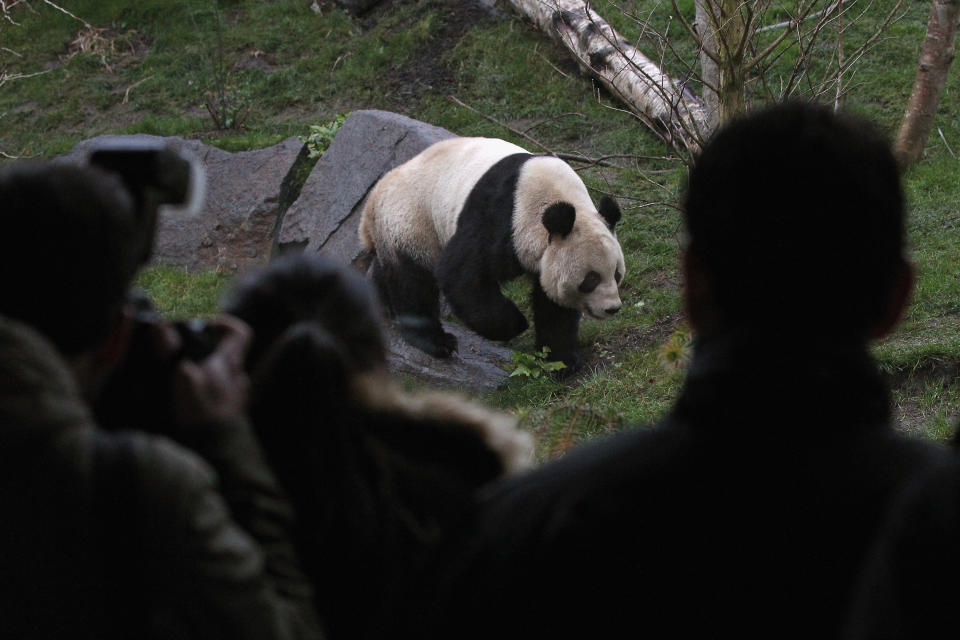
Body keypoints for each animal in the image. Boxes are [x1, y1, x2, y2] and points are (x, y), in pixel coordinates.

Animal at [356, 135, 628, 370]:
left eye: (616, 275)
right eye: (590, 280)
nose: (612, 308)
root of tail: (372, 201)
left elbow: (553, 304)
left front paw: (560, 360)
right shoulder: (501, 217)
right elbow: (460, 274)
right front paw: (516, 324)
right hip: (411, 220)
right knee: (413, 280)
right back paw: (436, 342)